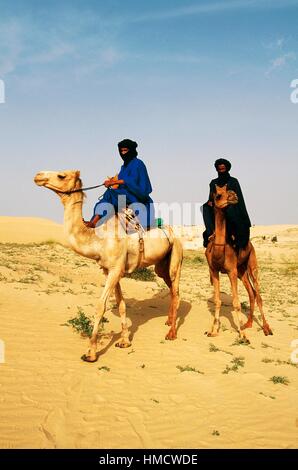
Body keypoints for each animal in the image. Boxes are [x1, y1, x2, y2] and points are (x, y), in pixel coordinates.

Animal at [33, 171, 183, 362]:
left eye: (61, 175)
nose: (38, 176)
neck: (98, 239)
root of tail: (174, 233)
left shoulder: (115, 270)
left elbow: (100, 306)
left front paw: (90, 353)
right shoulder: (110, 270)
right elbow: (121, 304)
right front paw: (124, 341)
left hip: (176, 256)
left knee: (176, 291)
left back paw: (171, 333)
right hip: (161, 266)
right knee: (171, 289)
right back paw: (169, 320)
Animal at [205, 184, 272, 342]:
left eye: (228, 189)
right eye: (218, 195)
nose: (233, 195)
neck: (219, 251)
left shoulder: (231, 271)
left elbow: (236, 302)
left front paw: (242, 335)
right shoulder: (214, 271)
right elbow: (217, 301)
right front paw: (213, 331)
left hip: (252, 265)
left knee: (258, 294)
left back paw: (266, 328)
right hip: (241, 271)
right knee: (252, 293)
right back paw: (248, 323)